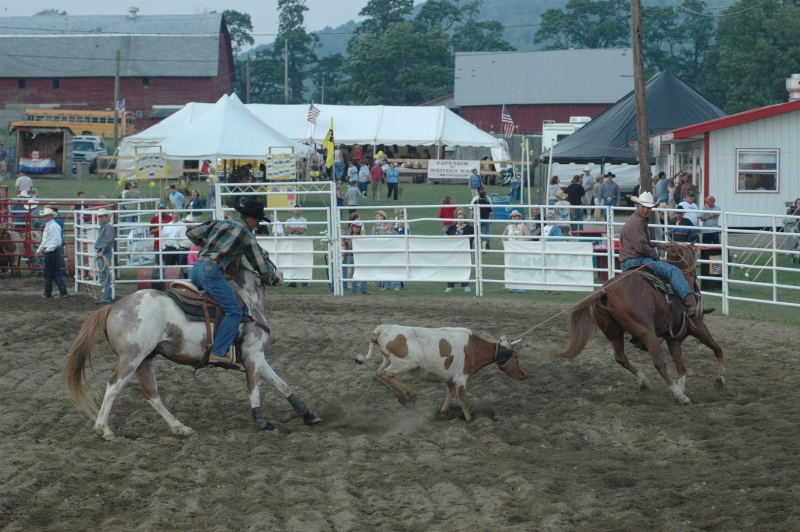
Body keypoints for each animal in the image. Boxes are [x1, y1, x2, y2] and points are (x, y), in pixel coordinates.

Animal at [65, 258, 322, 440]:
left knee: (151, 394)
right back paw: (104, 429)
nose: (280, 275)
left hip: (145, 359)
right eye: (265, 254)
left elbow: (282, 384)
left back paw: (180, 428)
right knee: (113, 386)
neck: (247, 302)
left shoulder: (258, 357)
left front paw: (309, 415)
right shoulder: (253, 356)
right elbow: (254, 390)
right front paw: (261, 422)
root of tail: (112, 308)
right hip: (132, 358)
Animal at [356, 324, 524, 420]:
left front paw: (443, 413)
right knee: (386, 375)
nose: (523, 374)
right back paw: (409, 394)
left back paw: (403, 396)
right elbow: (463, 399)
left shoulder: (449, 379)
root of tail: (381, 329)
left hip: (387, 360)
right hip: (407, 362)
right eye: (516, 356)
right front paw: (469, 419)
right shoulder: (461, 378)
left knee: (376, 374)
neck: (472, 348)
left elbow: (450, 393)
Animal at [556, 243, 724, 406]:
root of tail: (604, 291)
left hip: (613, 332)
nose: (695, 281)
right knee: (659, 363)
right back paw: (680, 397)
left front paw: (682, 387)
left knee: (620, 357)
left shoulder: (673, 339)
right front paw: (720, 380)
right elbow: (717, 349)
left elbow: (681, 367)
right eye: (694, 256)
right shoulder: (698, 326)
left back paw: (645, 382)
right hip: (647, 332)